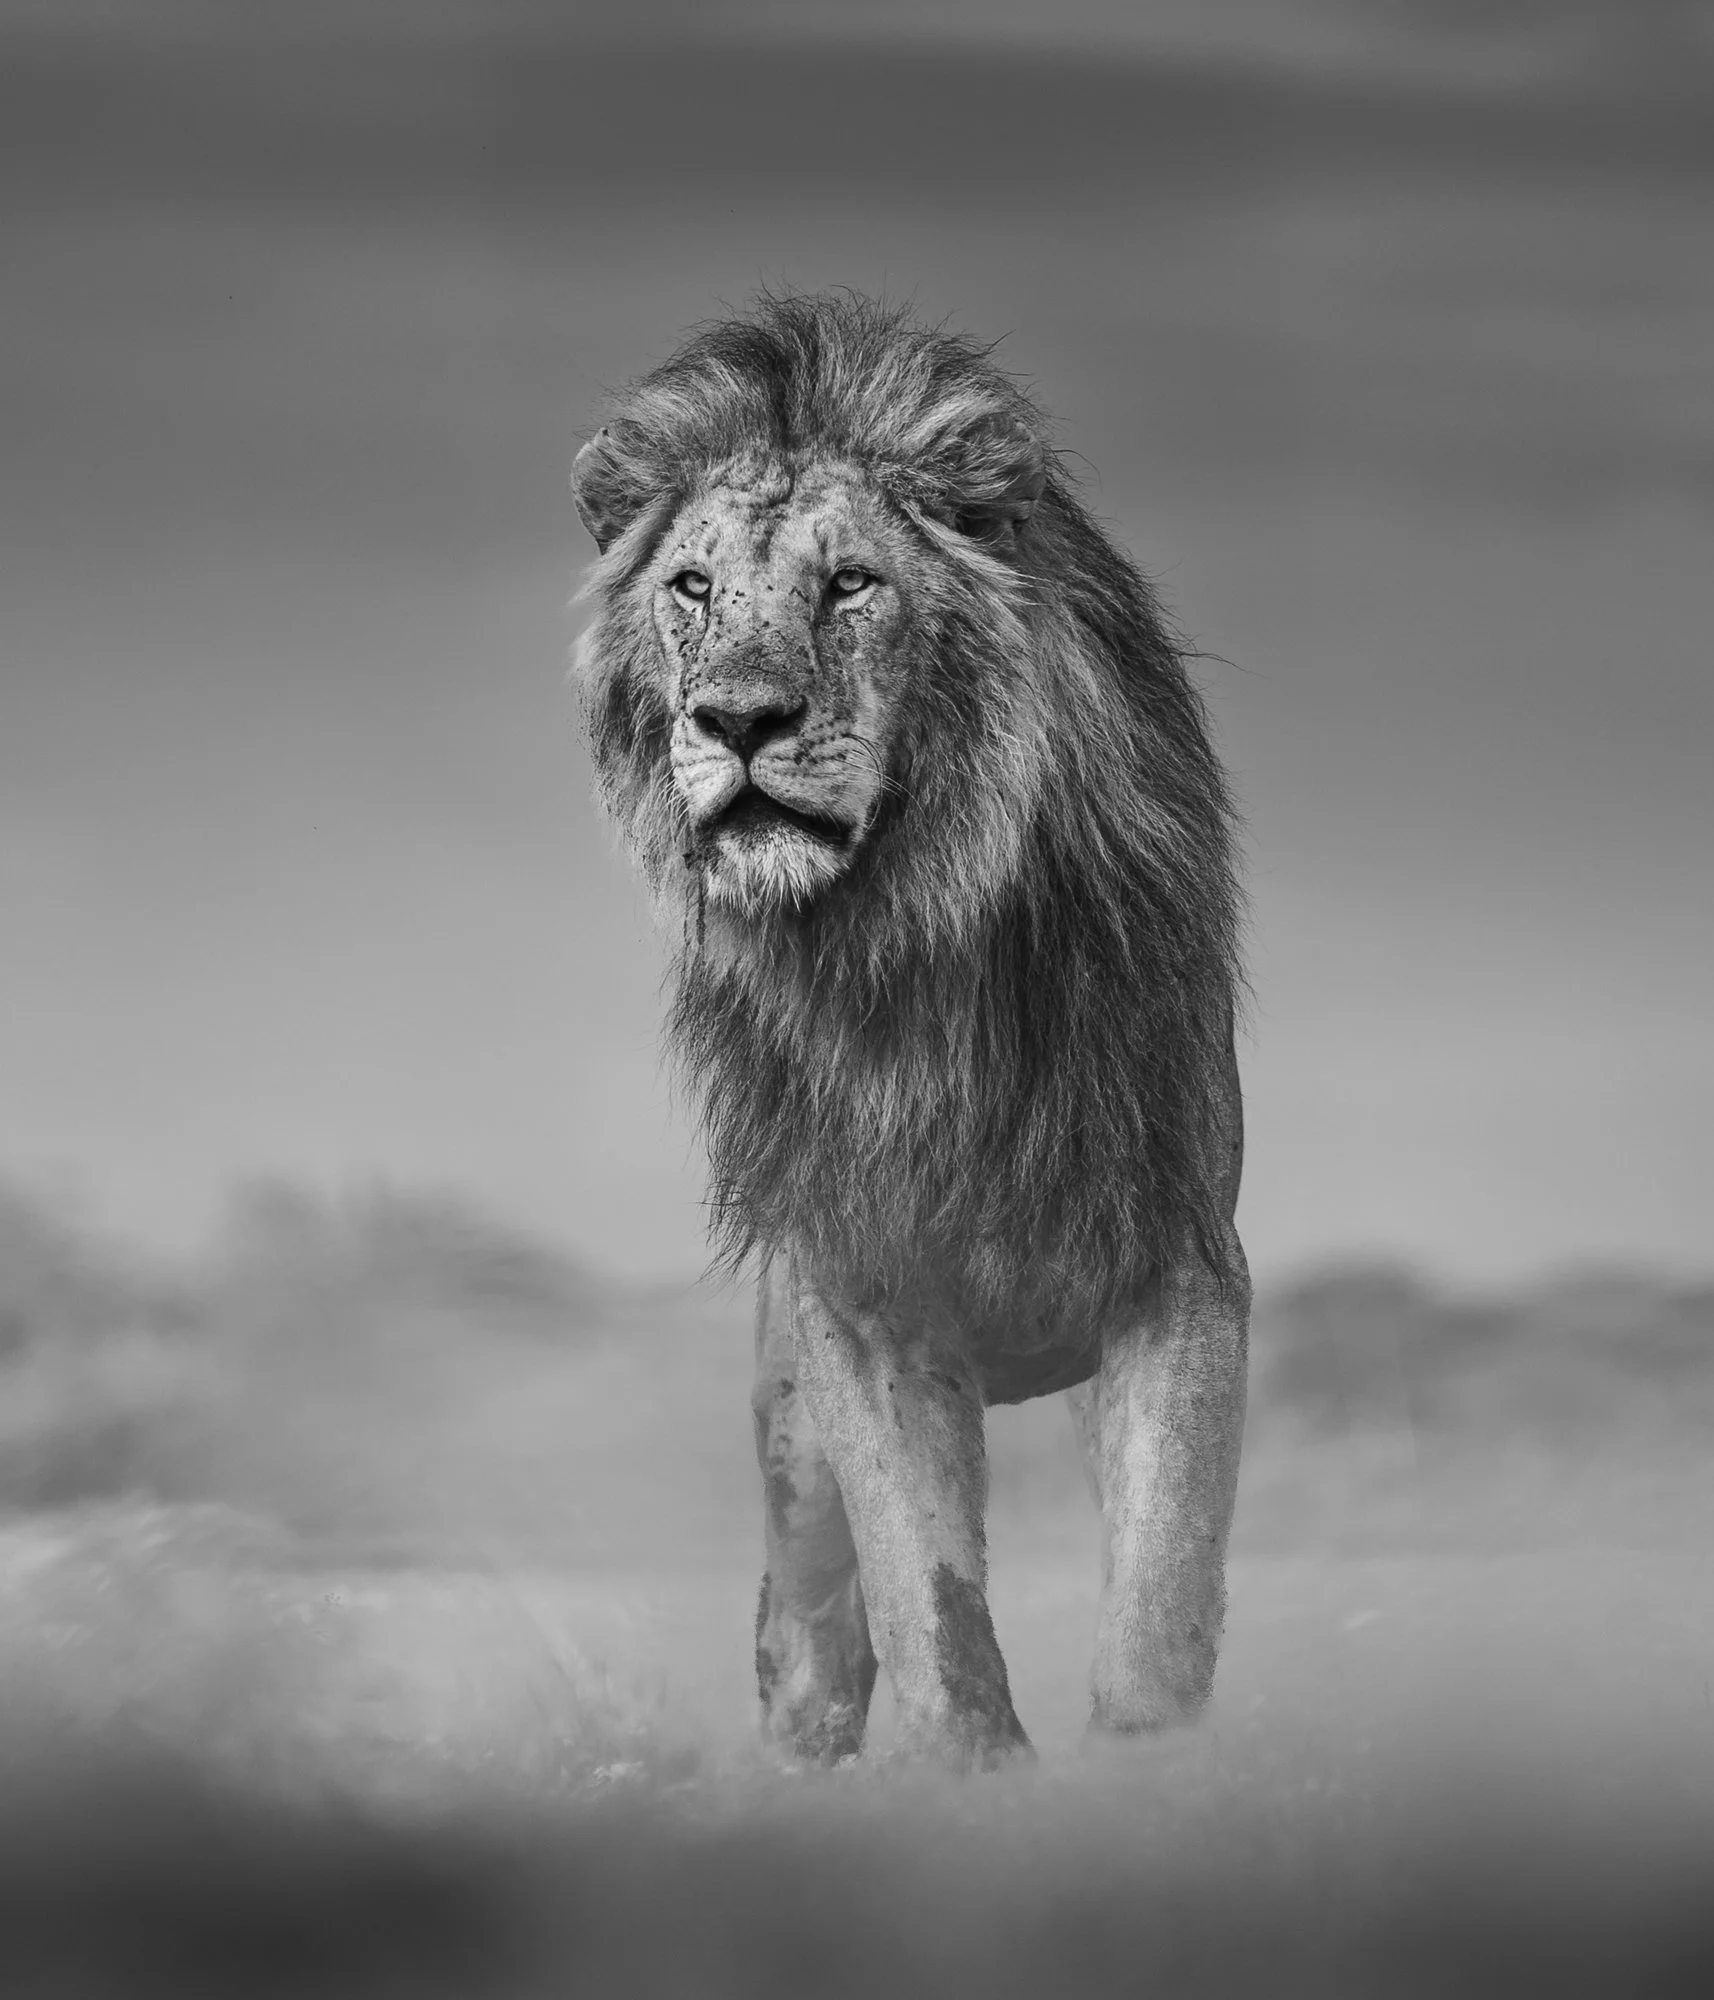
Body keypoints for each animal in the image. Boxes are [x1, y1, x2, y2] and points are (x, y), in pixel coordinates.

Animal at [571, 294, 1249, 1770]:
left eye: (849, 585)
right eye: (691, 587)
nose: (739, 719)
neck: (900, 942)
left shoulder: (1180, 1257)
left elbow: (1164, 1587)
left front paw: (1152, 1772)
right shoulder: (857, 1292)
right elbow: (924, 1590)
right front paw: (972, 1772)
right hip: (786, 1442)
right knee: (803, 1647)